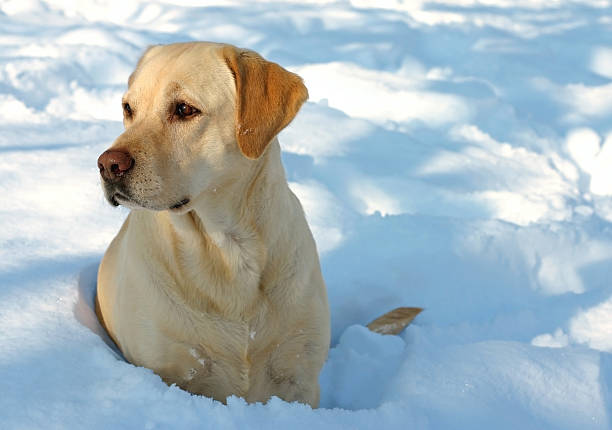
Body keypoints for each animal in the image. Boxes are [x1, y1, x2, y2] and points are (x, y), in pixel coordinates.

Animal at [95, 42, 420, 408]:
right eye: (128, 108)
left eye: (184, 109)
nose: (107, 164)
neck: (229, 250)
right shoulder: (169, 371)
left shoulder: (299, 379)